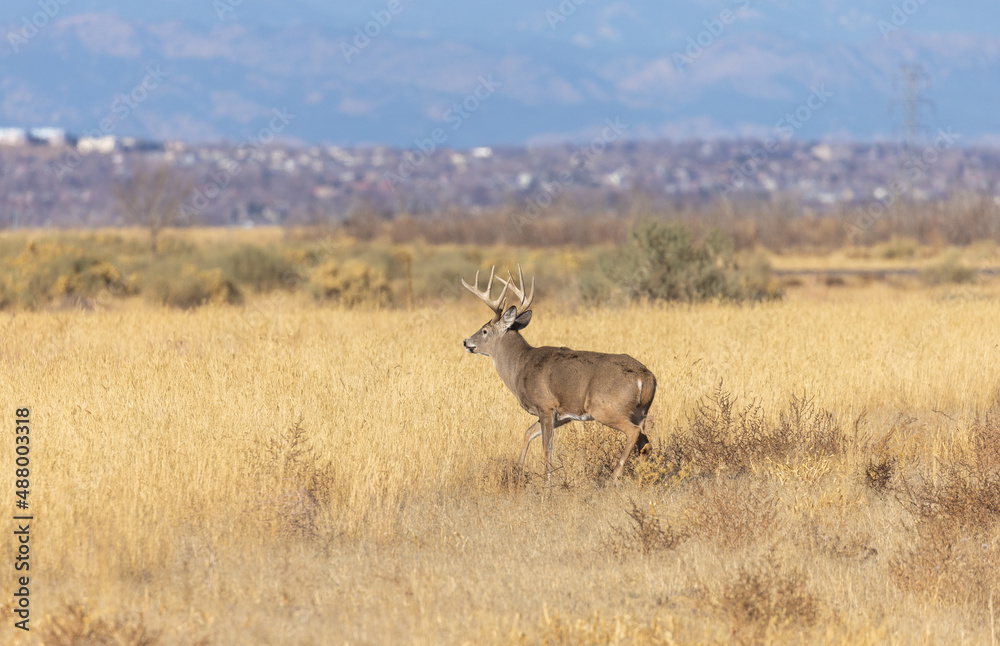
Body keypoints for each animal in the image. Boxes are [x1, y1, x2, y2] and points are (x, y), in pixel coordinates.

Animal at [462, 265, 656, 480]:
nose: (466, 342)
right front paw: (518, 471)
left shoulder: (545, 406)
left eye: (484, 330)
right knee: (646, 444)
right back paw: (643, 479)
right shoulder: (563, 415)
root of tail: (645, 377)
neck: (519, 366)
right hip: (640, 411)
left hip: (605, 408)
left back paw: (615, 477)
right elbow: (528, 433)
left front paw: (546, 481)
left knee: (633, 433)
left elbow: (546, 448)